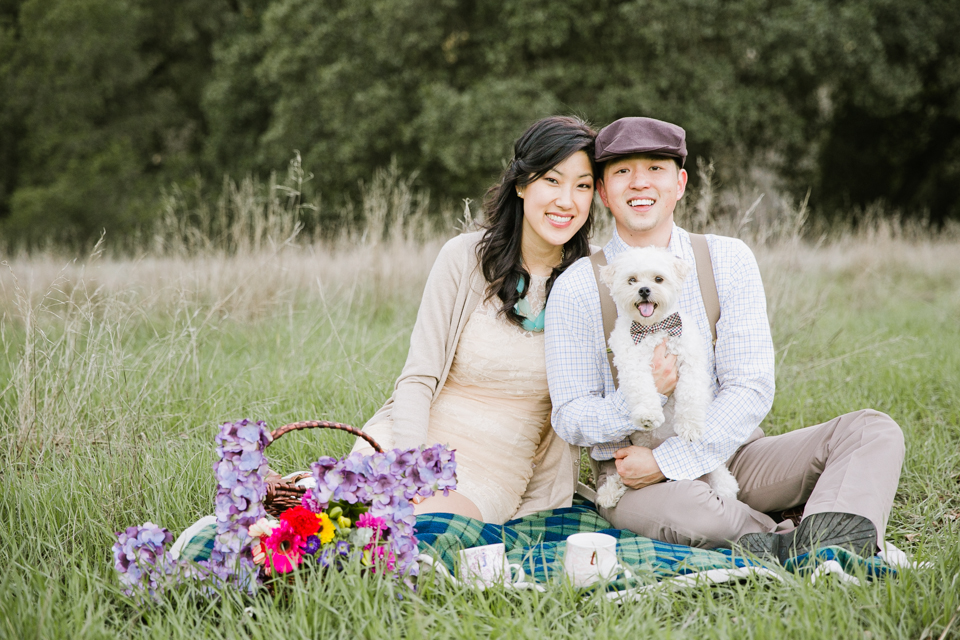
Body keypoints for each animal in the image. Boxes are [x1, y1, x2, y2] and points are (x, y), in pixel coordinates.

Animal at [592, 246, 744, 510]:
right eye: (631, 280)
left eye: (658, 279)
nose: (644, 290)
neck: (653, 328)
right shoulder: (632, 362)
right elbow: (642, 387)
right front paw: (648, 415)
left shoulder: (690, 360)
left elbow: (691, 394)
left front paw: (690, 427)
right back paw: (610, 491)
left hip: (717, 476)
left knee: (721, 481)